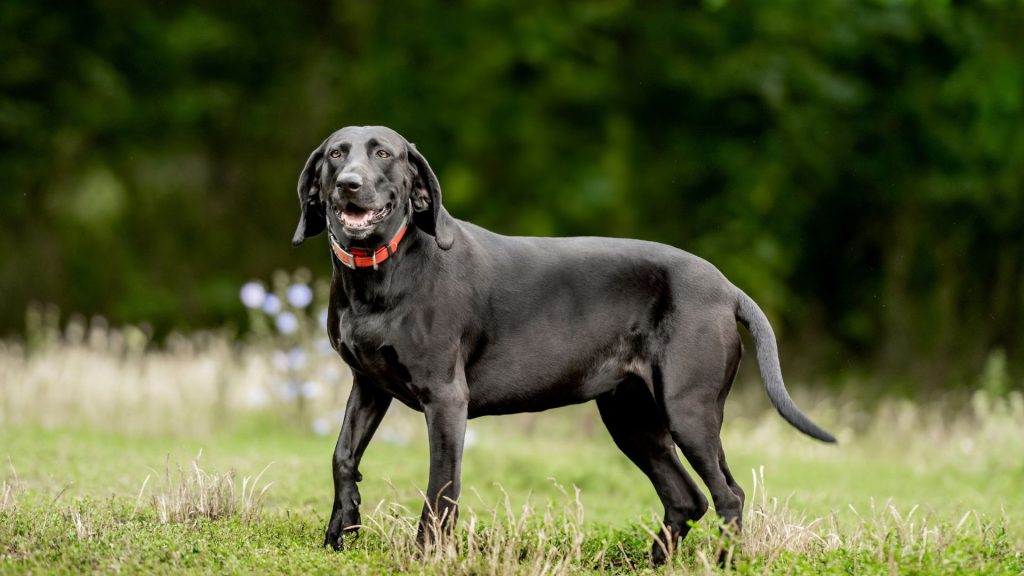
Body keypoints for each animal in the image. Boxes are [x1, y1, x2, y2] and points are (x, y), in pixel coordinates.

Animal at [292, 124, 835, 561]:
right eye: (336, 154)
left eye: (384, 153)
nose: (348, 185)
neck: (380, 271)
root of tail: (726, 287)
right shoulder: (368, 385)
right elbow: (342, 456)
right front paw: (341, 531)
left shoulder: (445, 399)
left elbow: (441, 486)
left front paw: (426, 555)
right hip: (632, 418)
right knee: (688, 498)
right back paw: (649, 564)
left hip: (689, 412)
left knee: (728, 496)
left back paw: (724, 564)